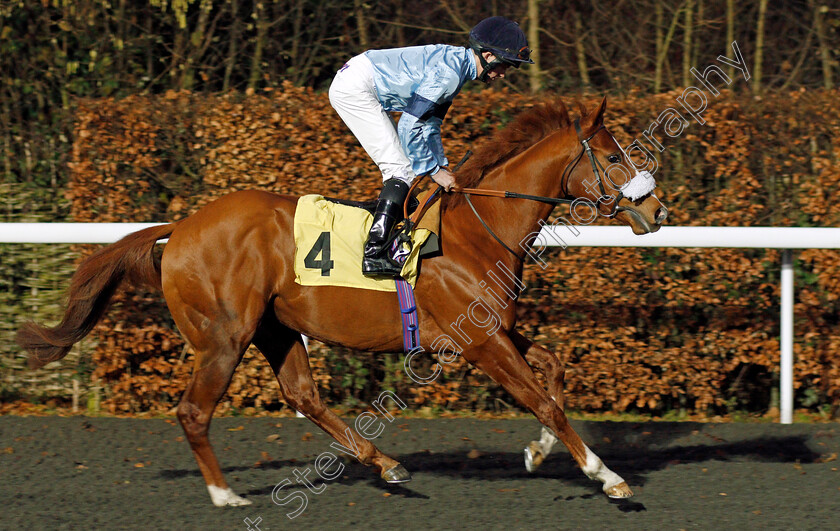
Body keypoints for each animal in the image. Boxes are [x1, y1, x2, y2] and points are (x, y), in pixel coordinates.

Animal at [14, 97, 668, 510]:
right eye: (616, 157)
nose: (656, 208)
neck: (479, 231)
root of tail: (180, 228)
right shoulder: (481, 343)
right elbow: (544, 400)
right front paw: (607, 477)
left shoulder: (493, 329)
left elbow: (553, 371)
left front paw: (535, 453)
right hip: (224, 337)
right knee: (194, 412)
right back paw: (226, 494)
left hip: (276, 328)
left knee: (303, 396)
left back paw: (386, 464)